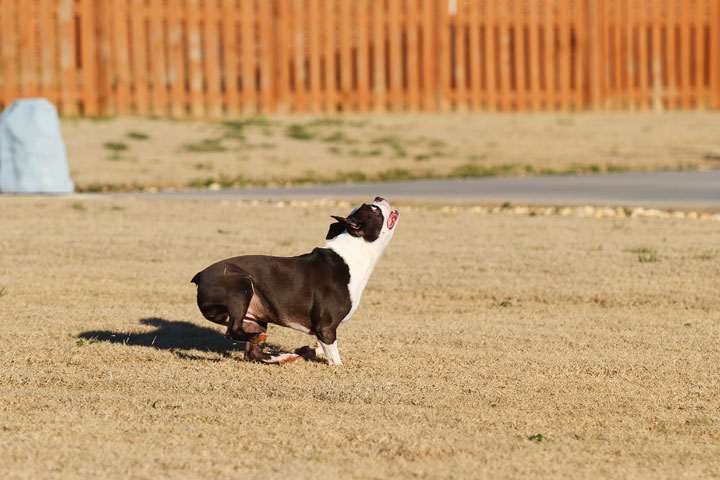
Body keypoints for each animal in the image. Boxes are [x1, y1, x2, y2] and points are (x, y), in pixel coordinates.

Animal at [191, 197, 400, 366]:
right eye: (374, 209)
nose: (379, 197)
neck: (356, 250)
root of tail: (201, 275)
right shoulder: (326, 327)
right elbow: (334, 357)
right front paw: (338, 367)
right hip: (240, 287)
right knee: (232, 331)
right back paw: (262, 341)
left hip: (255, 314)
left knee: (252, 353)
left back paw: (282, 357)